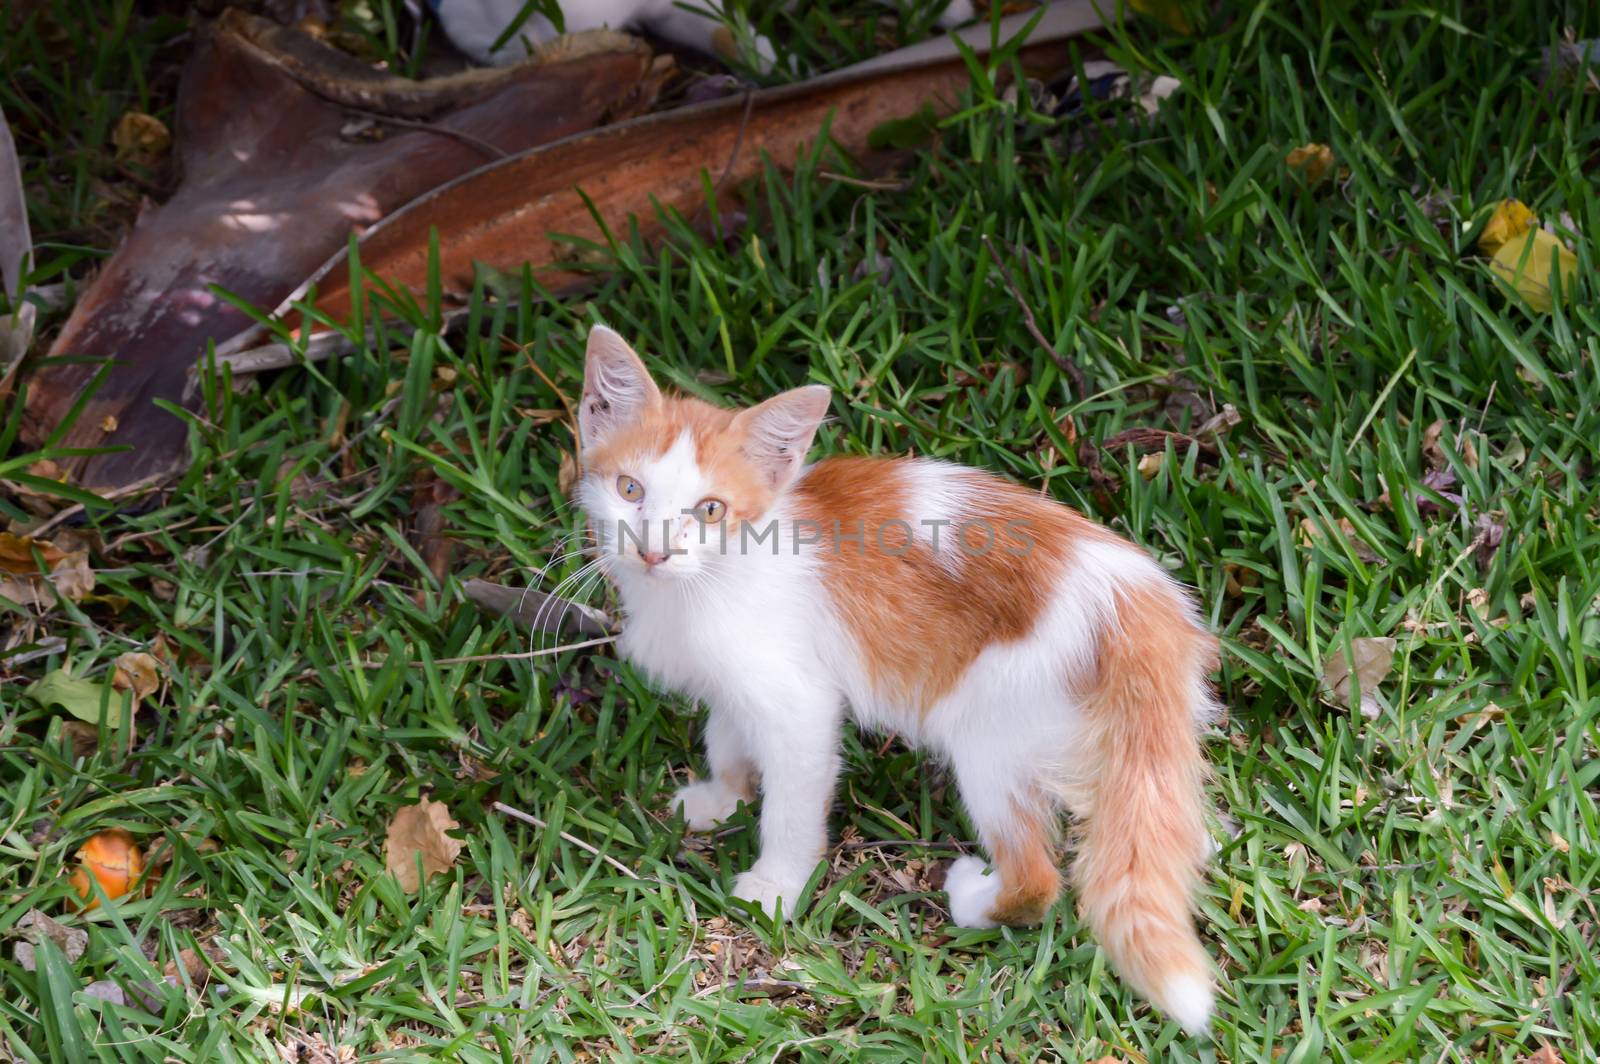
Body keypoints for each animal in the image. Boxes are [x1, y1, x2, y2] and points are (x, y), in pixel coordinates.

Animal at [582, 323, 1216, 1030]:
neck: (706, 583)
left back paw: (979, 899)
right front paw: (723, 797)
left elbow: (793, 799)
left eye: (711, 510)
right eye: (630, 490)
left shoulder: (799, 701)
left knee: (1038, 875)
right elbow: (726, 732)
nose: (653, 550)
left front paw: (774, 887)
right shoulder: (737, 677)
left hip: (990, 721)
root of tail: (1133, 593)